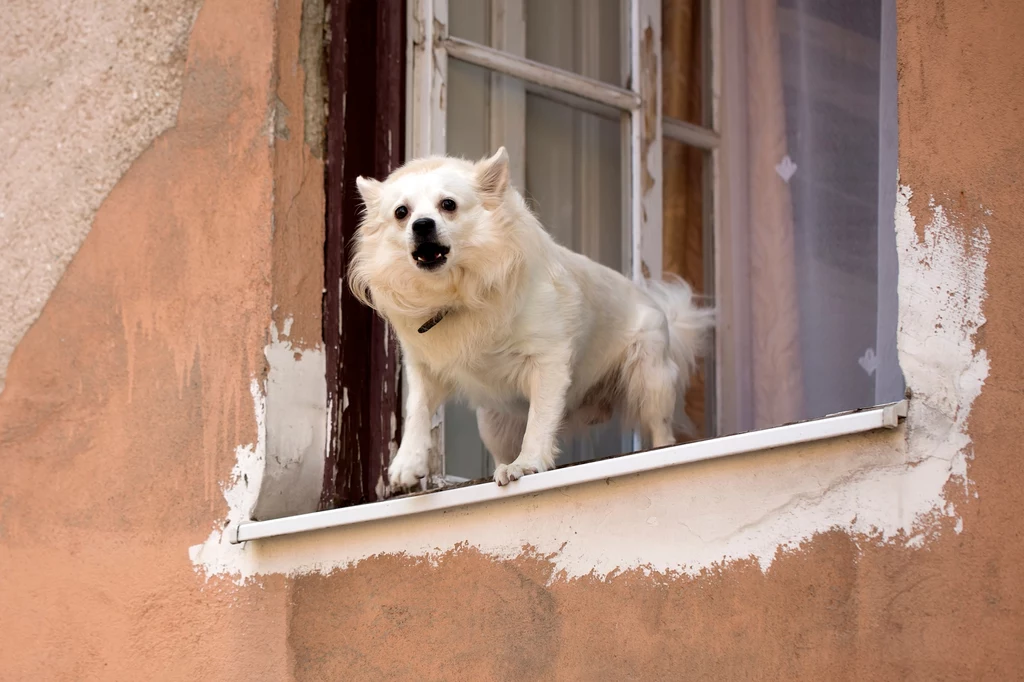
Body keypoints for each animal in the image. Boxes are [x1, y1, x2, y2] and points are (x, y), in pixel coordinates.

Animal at [350, 148, 712, 489]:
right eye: (402, 213)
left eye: (448, 205)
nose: (422, 224)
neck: (456, 293)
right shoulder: (424, 367)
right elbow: (417, 411)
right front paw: (407, 462)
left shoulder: (548, 362)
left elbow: (539, 420)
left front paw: (527, 464)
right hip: (492, 422)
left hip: (650, 378)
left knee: (661, 430)